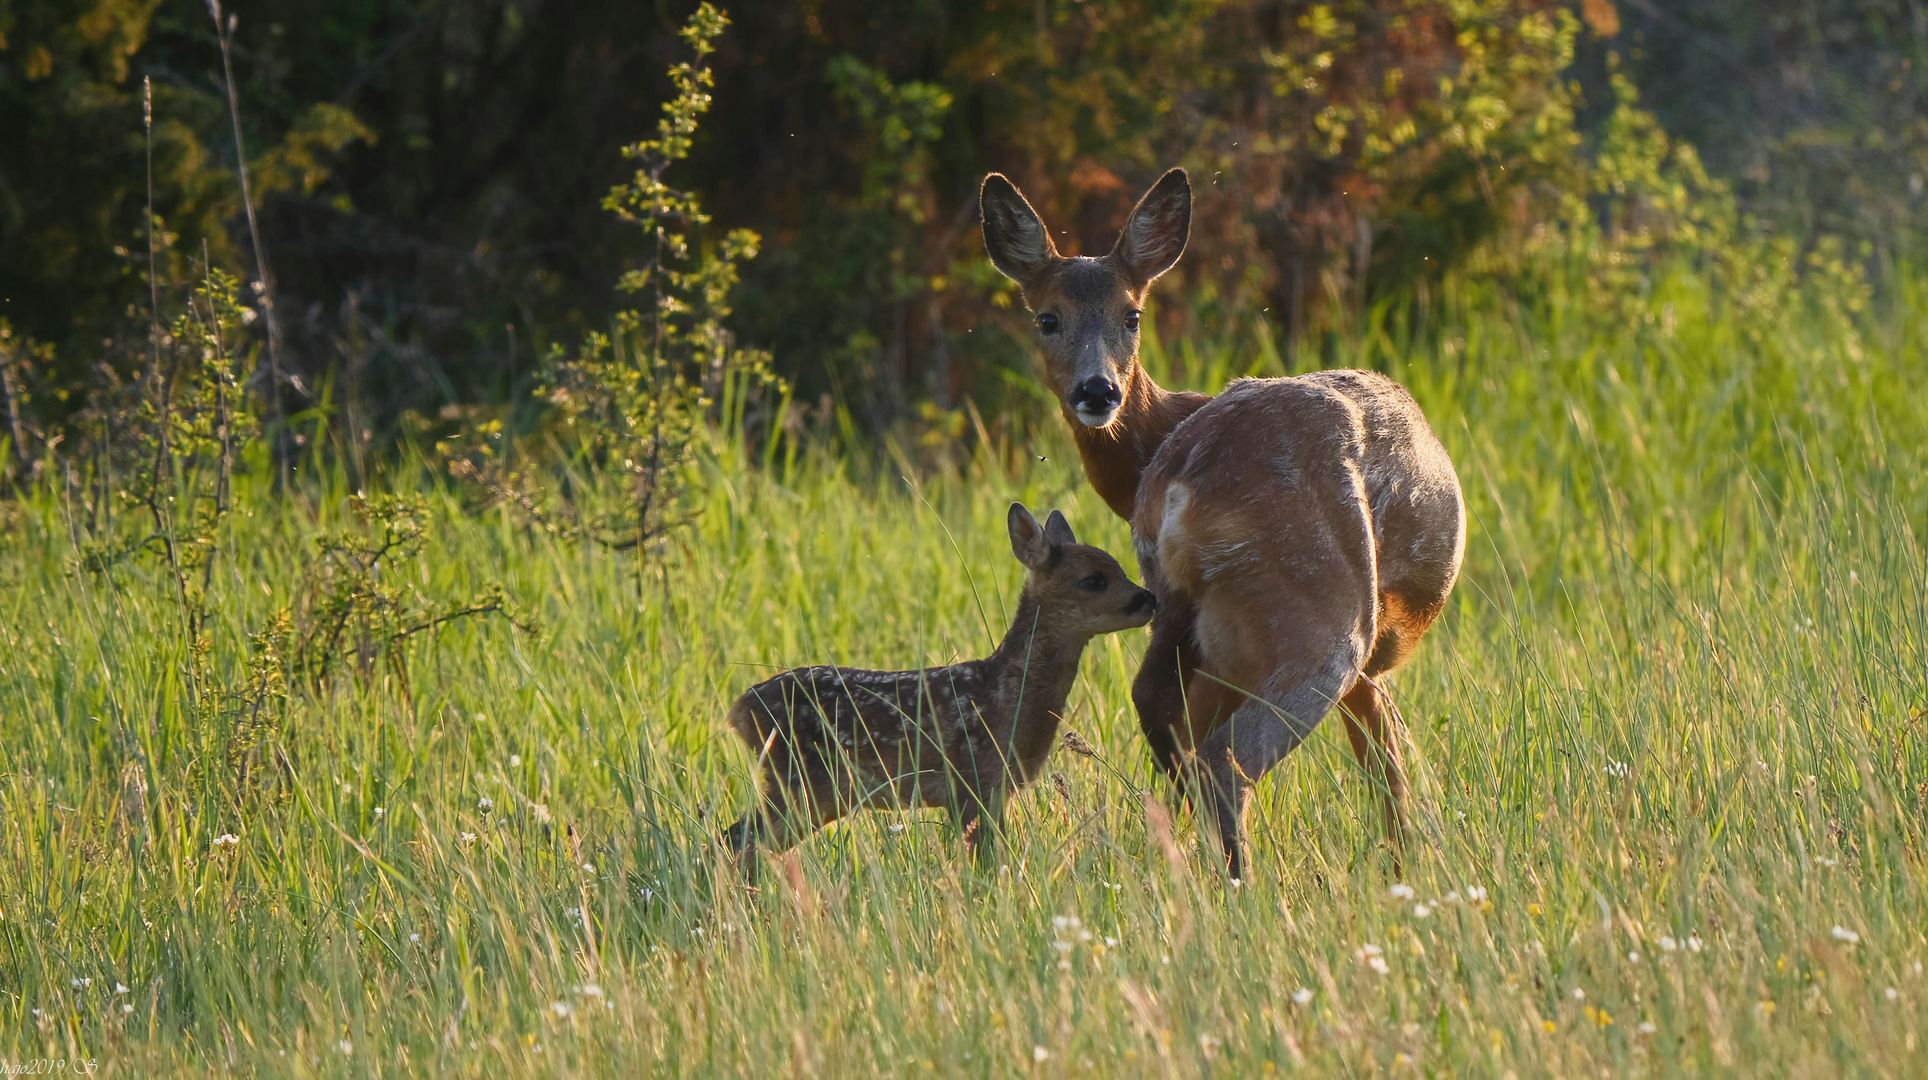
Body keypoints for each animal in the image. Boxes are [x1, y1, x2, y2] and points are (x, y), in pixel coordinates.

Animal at [987, 166, 1465, 879]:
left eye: (1131, 314)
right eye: (1047, 318)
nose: (1097, 390)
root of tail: (1182, 481)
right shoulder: (1363, 657)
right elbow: (1388, 753)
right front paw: (1408, 866)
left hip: (1184, 609)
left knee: (1158, 706)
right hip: (1322, 607)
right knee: (1227, 757)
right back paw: (1250, 884)